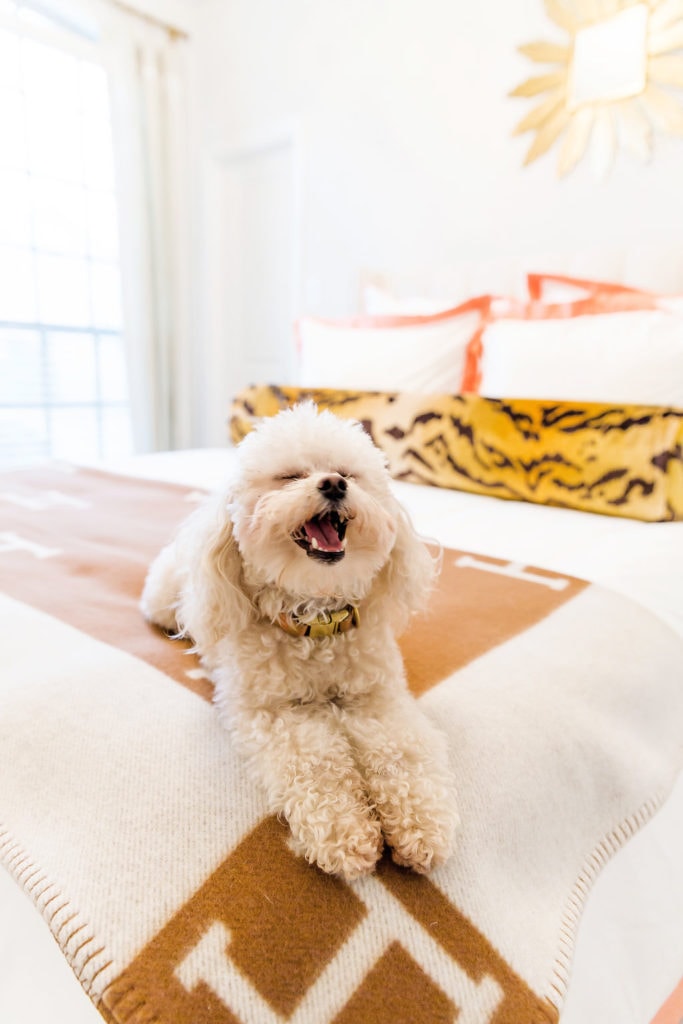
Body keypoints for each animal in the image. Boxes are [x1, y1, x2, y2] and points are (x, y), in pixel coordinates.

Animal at [141, 403, 456, 876]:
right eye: (290, 477)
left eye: (347, 473)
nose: (333, 484)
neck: (317, 623)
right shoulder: (273, 714)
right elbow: (316, 766)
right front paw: (347, 835)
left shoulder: (378, 699)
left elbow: (402, 754)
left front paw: (423, 825)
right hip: (164, 599)